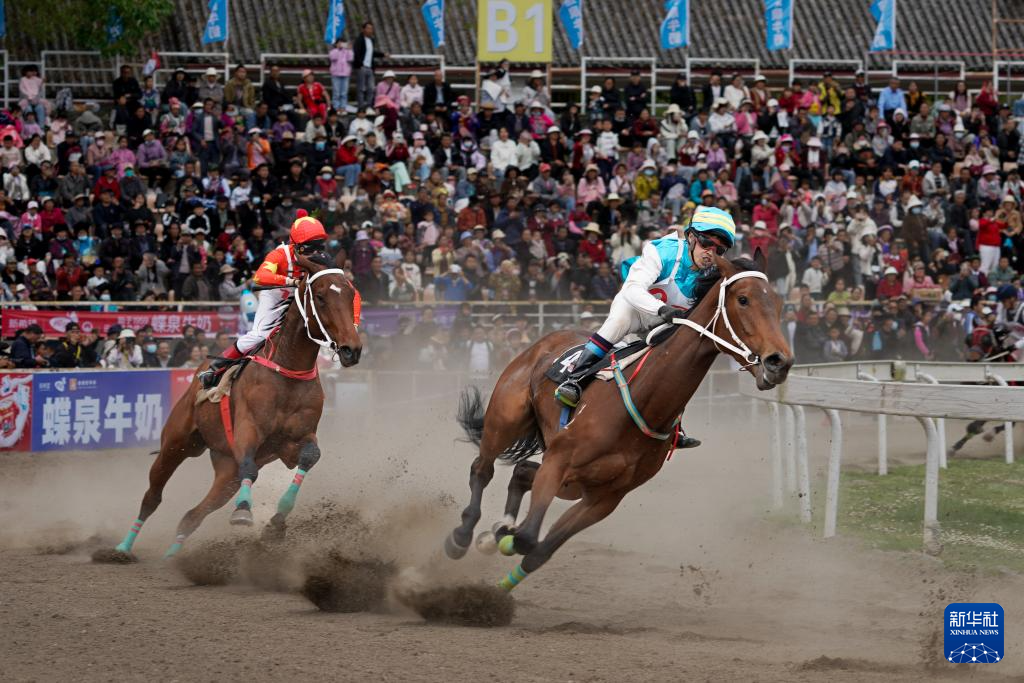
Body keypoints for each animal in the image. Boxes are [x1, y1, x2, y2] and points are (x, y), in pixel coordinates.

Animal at [105, 256, 362, 559]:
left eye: (351, 294)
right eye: (320, 297)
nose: (351, 350)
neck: (287, 372)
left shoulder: (295, 440)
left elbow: (309, 457)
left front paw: (276, 521)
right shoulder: (247, 430)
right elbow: (249, 469)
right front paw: (242, 513)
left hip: (225, 471)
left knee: (192, 515)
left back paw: (171, 556)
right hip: (176, 443)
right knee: (152, 497)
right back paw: (122, 548)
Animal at [443, 254, 793, 592]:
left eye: (778, 303)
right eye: (744, 299)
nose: (780, 362)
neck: (644, 402)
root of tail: (545, 340)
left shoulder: (604, 498)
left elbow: (538, 551)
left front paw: (498, 578)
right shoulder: (559, 463)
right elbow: (528, 537)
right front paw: (498, 539)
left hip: (574, 484)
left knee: (522, 471)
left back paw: (498, 527)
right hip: (506, 419)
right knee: (482, 469)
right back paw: (462, 536)